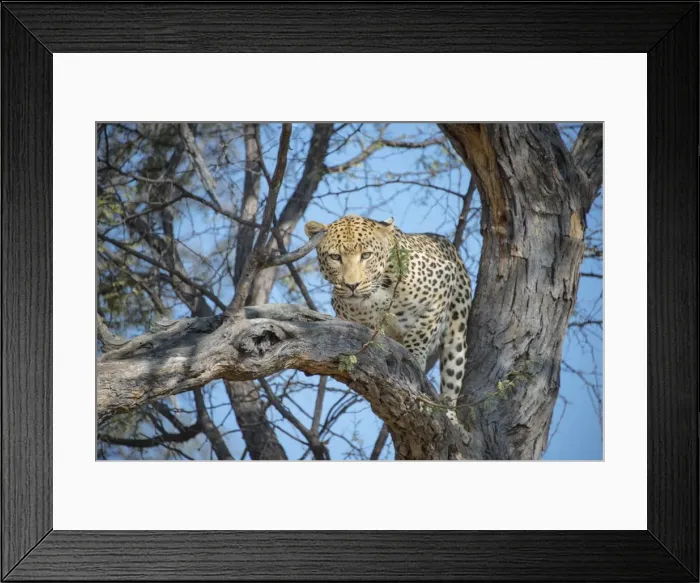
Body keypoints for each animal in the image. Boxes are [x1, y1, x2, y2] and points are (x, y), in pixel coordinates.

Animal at [304, 214, 472, 405]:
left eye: (366, 255)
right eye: (335, 257)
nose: (352, 285)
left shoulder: (444, 279)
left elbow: (420, 331)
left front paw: (415, 357)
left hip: (456, 337)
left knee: (451, 385)